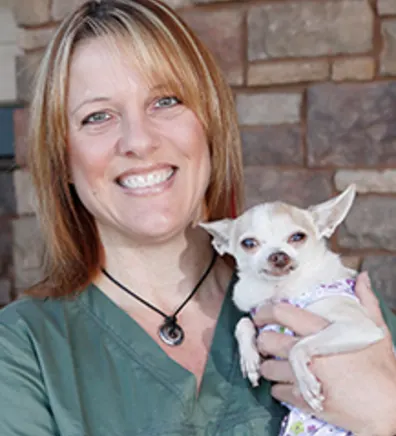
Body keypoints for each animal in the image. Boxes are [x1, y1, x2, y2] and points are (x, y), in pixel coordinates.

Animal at [201, 186, 384, 434]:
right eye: (249, 243)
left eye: (298, 237)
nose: (278, 255)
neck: (280, 291)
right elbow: (244, 323)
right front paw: (249, 358)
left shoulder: (361, 327)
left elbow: (297, 347)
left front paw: (305, 382)